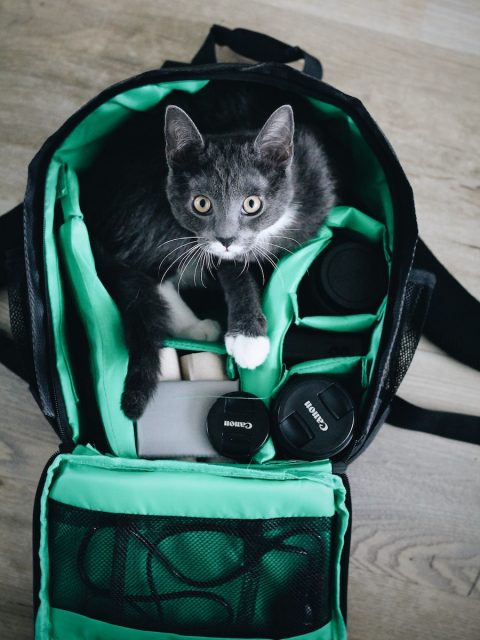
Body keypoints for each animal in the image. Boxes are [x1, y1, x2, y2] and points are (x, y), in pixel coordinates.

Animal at [82, 90, 336, 420]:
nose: (225, 238)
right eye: (201, 203)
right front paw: (248, 337)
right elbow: (232, 269)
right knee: (149, 269)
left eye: (252, 203)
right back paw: (196, 326)